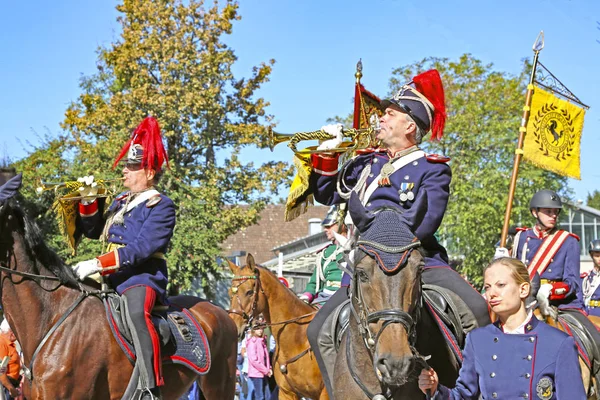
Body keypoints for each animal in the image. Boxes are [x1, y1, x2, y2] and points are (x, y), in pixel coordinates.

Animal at [225, 256, 328, 400]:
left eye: (249, 291)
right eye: (230, 292)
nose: (234, 326)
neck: (298, 338)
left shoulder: (325, 393)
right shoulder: (286, 393)